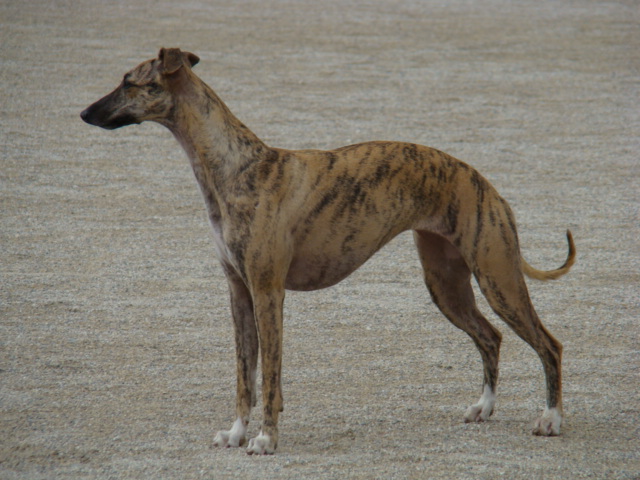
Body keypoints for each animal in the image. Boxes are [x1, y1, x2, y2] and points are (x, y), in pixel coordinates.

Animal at [80, 48, 576, 454]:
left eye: (130, 82)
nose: (84, 113)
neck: (236, 168)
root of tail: (487, 185)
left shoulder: (268, 291)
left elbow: (270, 375)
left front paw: (265, 439)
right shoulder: (238, 292)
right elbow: (244, 375)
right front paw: (236, 433)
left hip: (497, 277)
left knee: (548, 344)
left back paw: (550, 419)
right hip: (446, 283)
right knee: (490, 337)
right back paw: (483, 407)